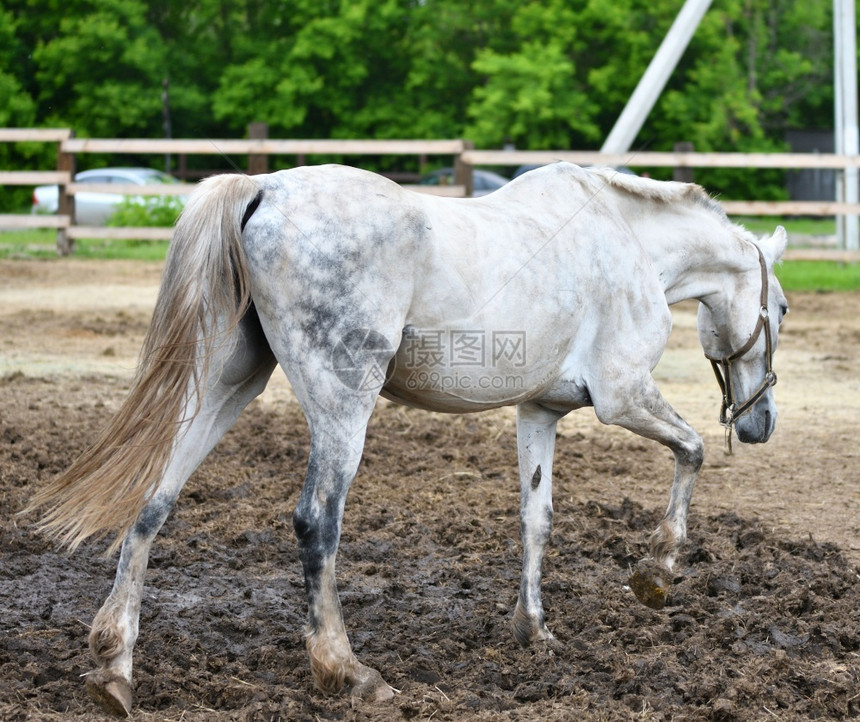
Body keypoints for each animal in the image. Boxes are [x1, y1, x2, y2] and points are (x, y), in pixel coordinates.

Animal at [28, 160, 788, 712]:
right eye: (779, 307)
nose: (760, 424)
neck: (625, 238)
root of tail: (264, 189)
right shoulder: (623, 396)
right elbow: (691, 451)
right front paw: (656, 575)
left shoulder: (540, 412)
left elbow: (536, 518)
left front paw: (534, 630)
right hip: (342, 405)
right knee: (316, 521)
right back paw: (349, 672)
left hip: (226, 384)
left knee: (154, 504)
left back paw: (115, 668)